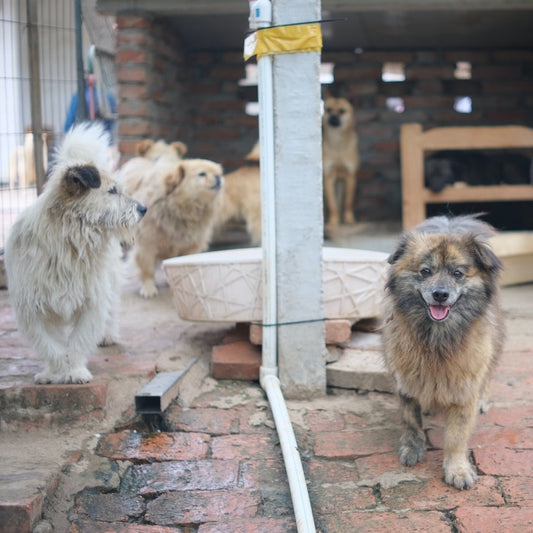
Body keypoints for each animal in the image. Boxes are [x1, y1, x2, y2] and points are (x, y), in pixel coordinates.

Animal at [4, 123, 145, 382]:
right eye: (112, 191)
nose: (144, 209)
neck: (70, 242)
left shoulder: (93, 302)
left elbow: (79, 341)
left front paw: (75, 370)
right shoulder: (32, 310)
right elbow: (50, 345)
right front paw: (56, 371)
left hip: (110, 281)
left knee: (111, 310)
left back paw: (108, 335)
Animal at [134, 158, 225, 300]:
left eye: (219, 173)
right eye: (202, 174)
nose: (218, 177)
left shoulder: (192, 247)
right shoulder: (147, 245)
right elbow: (147, 270)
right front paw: (148, 288)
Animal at [322, 96, 360, 230]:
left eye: (342, 111)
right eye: (328, 109)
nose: (333, 117)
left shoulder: (351, 177)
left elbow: (348, 202)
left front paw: (349, 220)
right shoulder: (328, 177)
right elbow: (332, 204)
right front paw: (333, 222)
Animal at [382, 214, 502, 488]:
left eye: (458, 273)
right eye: (425, 271)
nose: (440, 294)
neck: (436, 337)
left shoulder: (464, 386)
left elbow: (456, 436)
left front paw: (457, 469)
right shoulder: (405, 379)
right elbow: (411, 421)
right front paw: (412, 448)